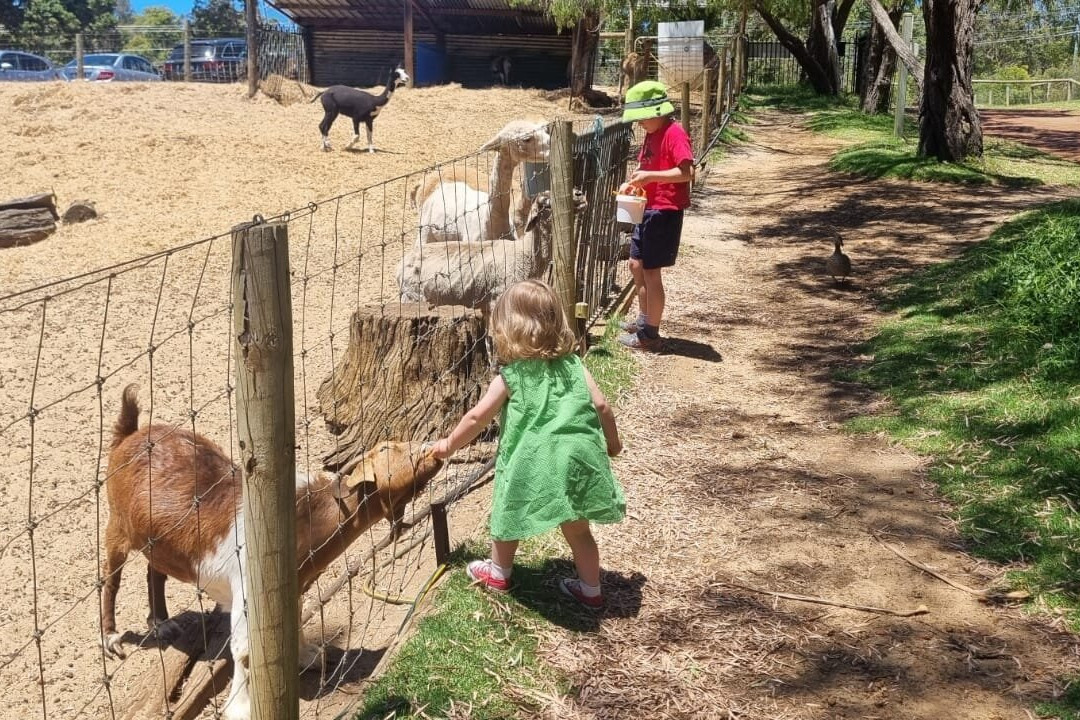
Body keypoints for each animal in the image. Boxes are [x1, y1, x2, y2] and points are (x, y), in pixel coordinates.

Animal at [98, 386, 442, 720]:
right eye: (386, 449)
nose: (432, 447)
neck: (303, 516)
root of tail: (130, 434)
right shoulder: (246, 587)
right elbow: (243, 649)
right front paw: (240, 708)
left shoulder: (293, 583)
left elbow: (296, 615)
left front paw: (308, 657)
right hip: (117, 524)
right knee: (111, 578)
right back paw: (111, 637)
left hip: (156, 540)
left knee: (154, 569)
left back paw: (161, 623)